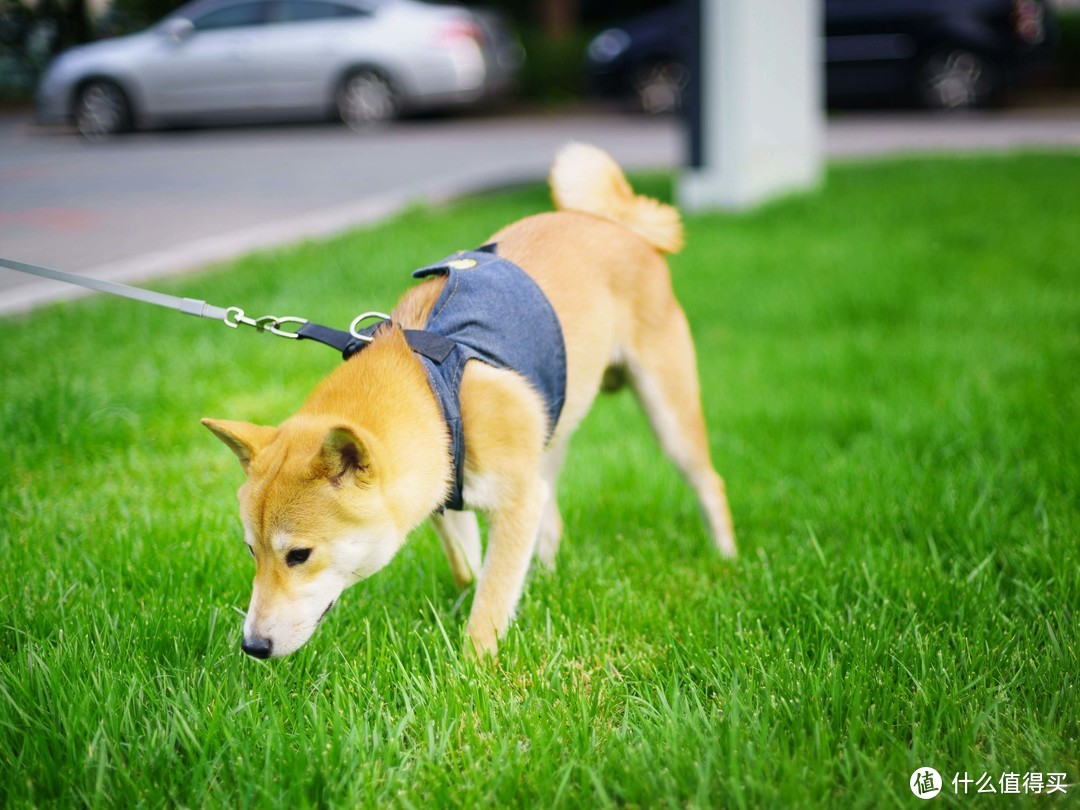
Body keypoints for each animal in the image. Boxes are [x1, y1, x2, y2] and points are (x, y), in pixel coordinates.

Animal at [201, 142, 734, 660]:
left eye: (299, 555)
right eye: (251, 551)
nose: (253, 646)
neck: (432, 388)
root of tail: (616, 221)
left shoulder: (515, 500)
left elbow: (491, 601)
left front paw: (474, 667)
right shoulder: (444, 497)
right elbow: (470, 571)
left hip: (667, 415)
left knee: (709, 482)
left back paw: (726, 558)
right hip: (550, 427)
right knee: (553, 515)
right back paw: (547, 580)